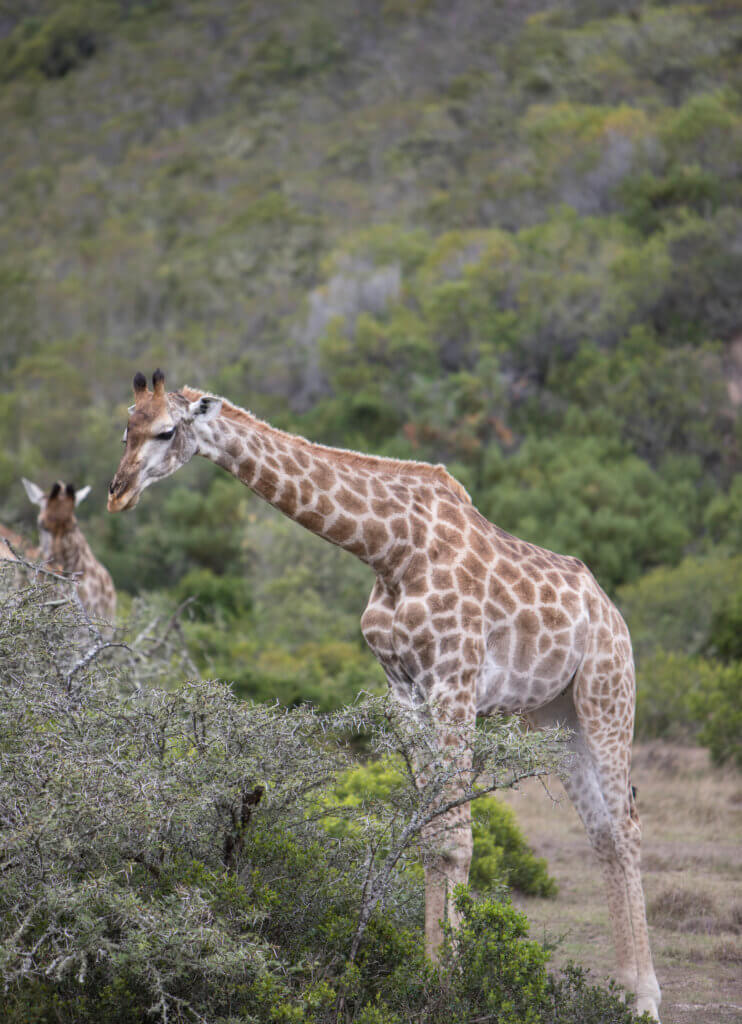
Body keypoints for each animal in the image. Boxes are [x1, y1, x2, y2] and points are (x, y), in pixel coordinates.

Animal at [107, 370, 661, 1020]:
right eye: (126, 426)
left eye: (167, 430)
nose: (117, 494)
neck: (388, 549)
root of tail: (612, 611)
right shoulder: (404, 690)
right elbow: (429, 836)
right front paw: (427, 974)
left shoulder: (454, 679)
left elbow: (457, 838)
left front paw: (454, 985)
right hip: (557, 718)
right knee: (602, 832)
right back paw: (622, 993)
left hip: (607, 695)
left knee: (627, 826)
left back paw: (645, 999)